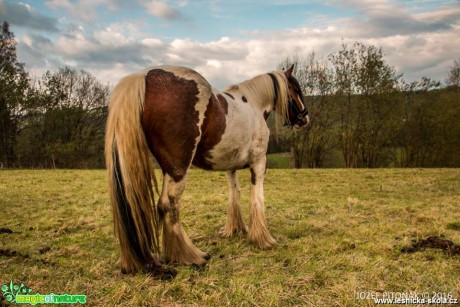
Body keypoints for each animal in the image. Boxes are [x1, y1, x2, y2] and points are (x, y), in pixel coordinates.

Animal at [105, 63, 310, 276]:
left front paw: (235, 229)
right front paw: (262, 238)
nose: (305, 119)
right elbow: (257, 198)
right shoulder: (259, 163)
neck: (253, 105)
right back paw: (189, 256)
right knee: (168, 205)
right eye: (296, 89)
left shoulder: (231, 168)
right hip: (178, 170)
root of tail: (144, 76)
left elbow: (234, 195)